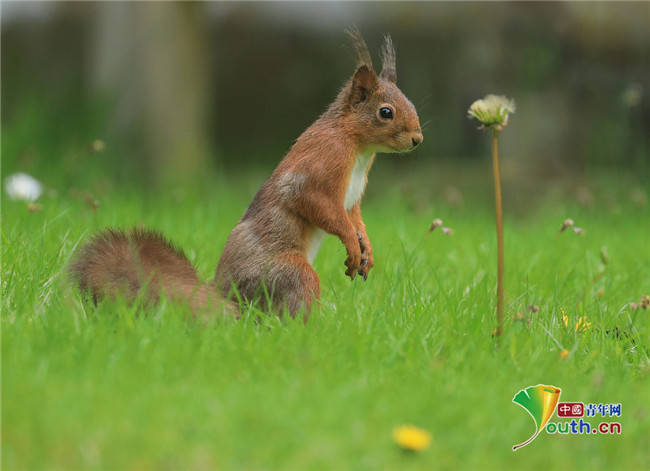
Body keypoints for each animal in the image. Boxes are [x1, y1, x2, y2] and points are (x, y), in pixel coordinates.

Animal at [71, 31, 422, 318]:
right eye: (385, 112)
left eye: (410, 101)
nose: (417, 139)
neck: (358, 149)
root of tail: (231, 300)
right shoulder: (320, 167)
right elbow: (322, 208)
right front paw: (351, 244)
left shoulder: (353, 198)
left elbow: (355, 217)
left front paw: (366, 249)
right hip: (286, 272)